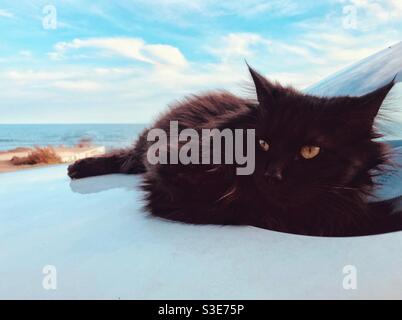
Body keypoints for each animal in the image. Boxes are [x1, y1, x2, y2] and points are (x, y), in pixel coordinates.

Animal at [67, 66, 400, 236]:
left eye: (310, 150)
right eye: (262, 143)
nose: (272, 174)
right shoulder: (166, 170)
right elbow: (244, 205)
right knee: (127, 157)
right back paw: (78, 167)